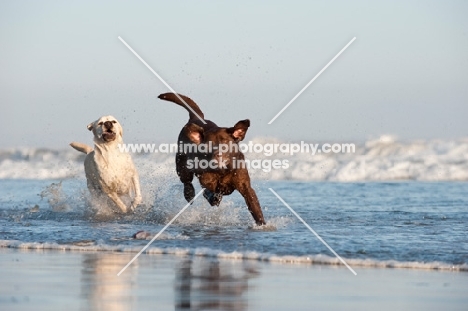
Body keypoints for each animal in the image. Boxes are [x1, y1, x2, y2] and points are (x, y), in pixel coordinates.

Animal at [159, 92, 266, 224]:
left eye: (225, 142)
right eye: (209, 144)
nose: (218, 154)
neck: (222, 171)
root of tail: (195, 118)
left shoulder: (245, 186)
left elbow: (255, 208)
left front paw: (263, 224)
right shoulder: (205, 179)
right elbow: (209, 189)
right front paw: (212, 197)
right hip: (181, 164)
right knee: (187, 181)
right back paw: (190, 194)